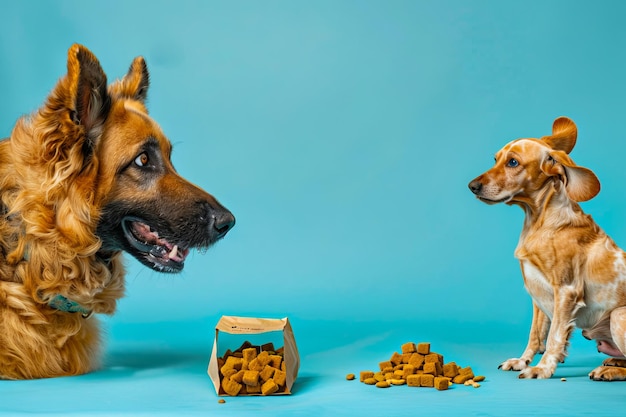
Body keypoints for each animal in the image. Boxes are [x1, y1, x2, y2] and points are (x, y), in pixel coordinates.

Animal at [466, 116, 624, 380]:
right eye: (495, 159)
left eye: (513, 162)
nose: (472, 186)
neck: (539, 222)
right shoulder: (537, 293)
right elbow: (535, 335)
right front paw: (522, 361)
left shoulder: (566, 291)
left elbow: (554, 337)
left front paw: (542, 368)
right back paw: (613, 362)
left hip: (618, 316)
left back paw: (609, 371)